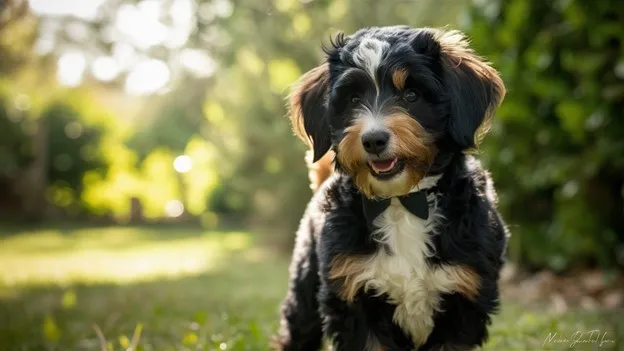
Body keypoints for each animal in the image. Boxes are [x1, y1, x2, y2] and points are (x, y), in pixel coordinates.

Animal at [278, 26, 512, 351]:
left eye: (412, 95)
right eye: (353, 99)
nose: (373, 140)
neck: (402, 201)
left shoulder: (464, 300)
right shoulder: (353, 298)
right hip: (306, 292)